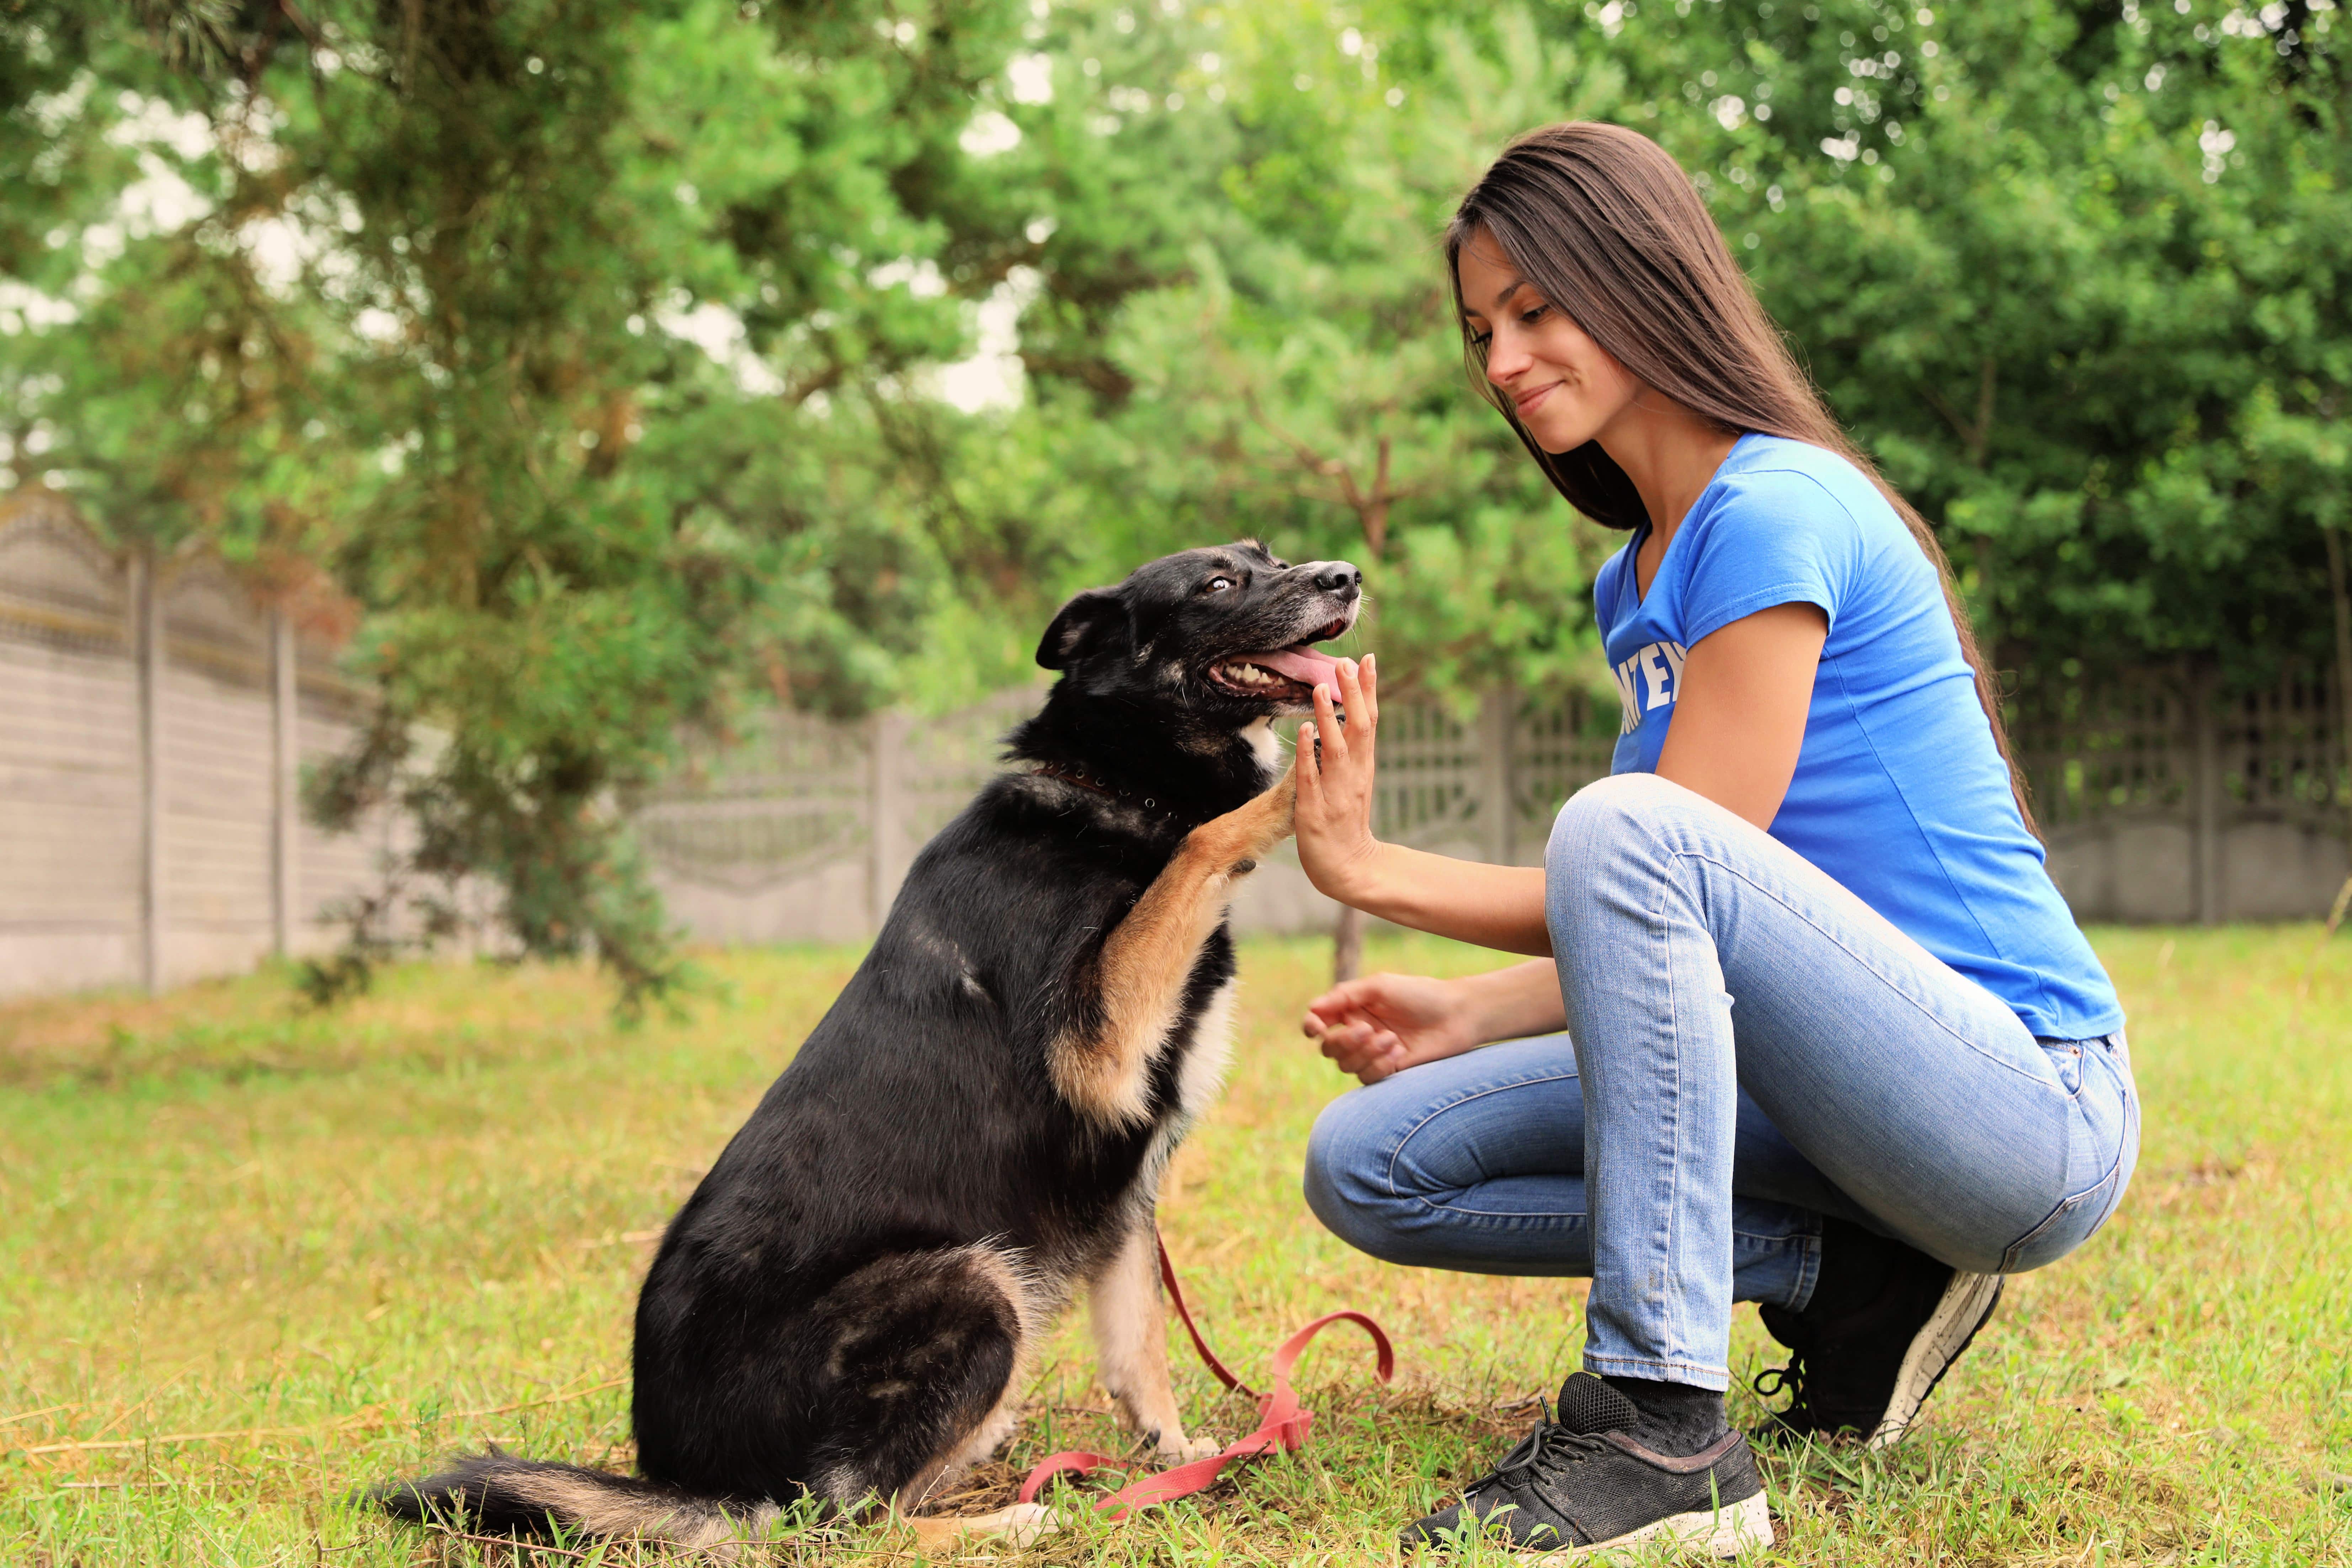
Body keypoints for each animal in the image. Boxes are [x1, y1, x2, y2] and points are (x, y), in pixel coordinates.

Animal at [376, 543, 1373, 1561]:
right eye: (1218, 583)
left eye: (1268, 558)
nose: (1344, 575)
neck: (1111, 782)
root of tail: (697, 1483)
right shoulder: (1097, 1044)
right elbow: (1205, 844)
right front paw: (1310, 776)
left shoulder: (1127, 1185)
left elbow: (1139, 1347)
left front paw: (1170, 1457)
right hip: (975, 1284)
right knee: (849, 1517)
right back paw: (1015, 1517)